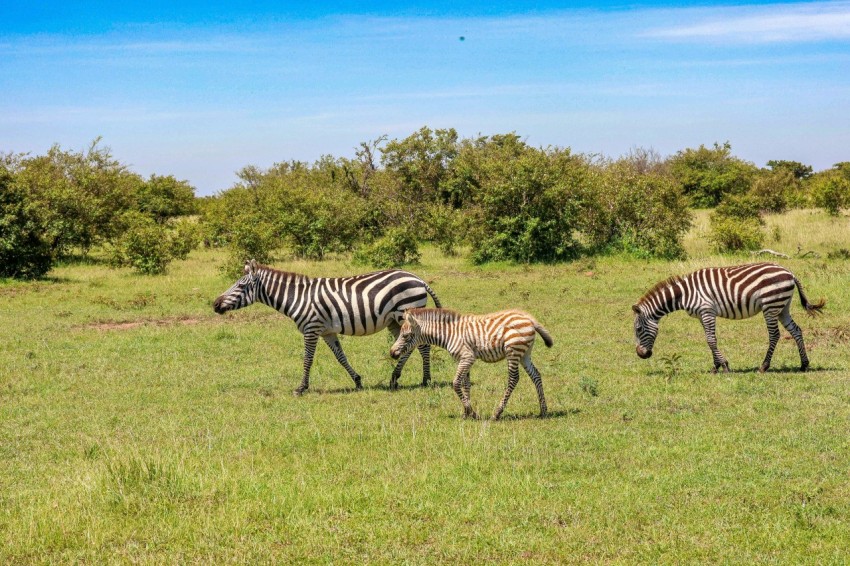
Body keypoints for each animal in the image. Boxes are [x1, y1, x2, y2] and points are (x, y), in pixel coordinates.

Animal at [213, 260, 442, 394]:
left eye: (241, 286)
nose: (215, 304)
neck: (298, 297)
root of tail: (418, 278)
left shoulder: (311, 328)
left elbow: (307, 359)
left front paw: (301, 388)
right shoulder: (327, 332)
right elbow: (341, 357)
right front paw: (357, 381)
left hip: (406, 313)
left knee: (422, 346)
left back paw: (425, 380)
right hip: (394, 321)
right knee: (408, 347)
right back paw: (395, 378)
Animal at [389, 308, 554, 420]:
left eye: (406, 336)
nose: (392, 353)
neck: (450, 334)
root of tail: (529, 319)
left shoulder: (467, 358)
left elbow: (456, 383)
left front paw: (472, 413)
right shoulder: (464, 359)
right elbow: (465, 384)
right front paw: (466, 413)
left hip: (513, 351)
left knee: (513, 379)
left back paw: (497, 413)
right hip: (524, 354)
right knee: (536, 375)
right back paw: (543, 411)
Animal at [632, 262, 825, 373]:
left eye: (638, 329)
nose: (641, 355)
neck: (683, 294)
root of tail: (790, 273)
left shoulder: (707, 311)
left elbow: (711, 340)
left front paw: (724, 365)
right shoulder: (702, 315)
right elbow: (709, 339)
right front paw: (715, 366)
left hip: (770, 306)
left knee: (774, 335)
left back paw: (764, 366)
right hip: (782, 306)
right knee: (796, 330)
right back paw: (804, 364)